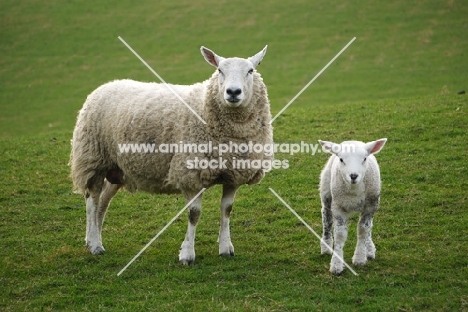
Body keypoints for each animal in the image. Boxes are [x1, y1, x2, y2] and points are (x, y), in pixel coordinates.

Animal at [70, 45, 274, 264]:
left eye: (250, 70)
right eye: (219, 70)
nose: (233, 92)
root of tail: (106, 85)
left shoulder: (234, 175)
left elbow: (226, 210)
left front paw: (226, 247)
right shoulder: (190, 174)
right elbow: (194, 214)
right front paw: (187, 254)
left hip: (117, 167)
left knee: (103, 201)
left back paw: (95, 237)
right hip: (93, 158)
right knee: (92, 200)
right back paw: (94, 244)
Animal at [318, 138, 388, 274]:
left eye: (365, 159)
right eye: (341, 159)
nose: (353, 176)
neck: (354, 191)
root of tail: (352, 140)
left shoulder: (370, 206)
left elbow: (363, 229)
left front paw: (360, 258)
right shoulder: (338, 208)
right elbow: (340, 235)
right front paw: (336, 264)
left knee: (369, 226)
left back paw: (369, 248)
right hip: (326, 193)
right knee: (326, 218)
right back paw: (326, 245)